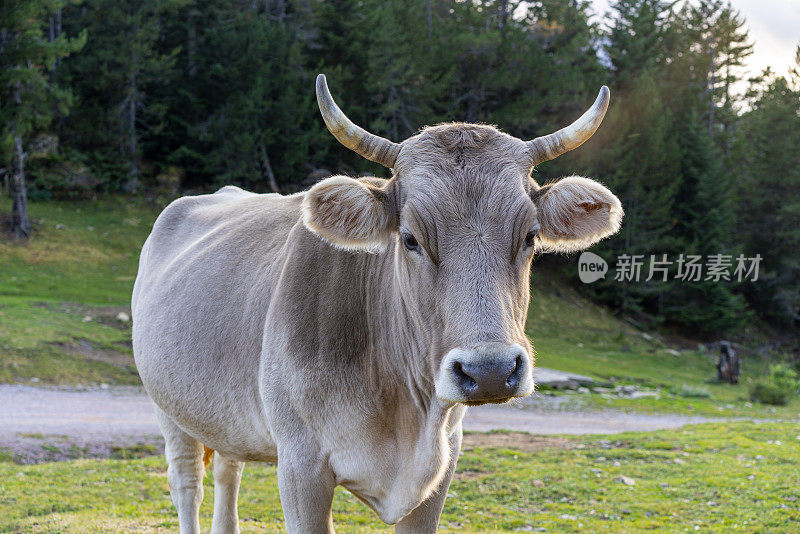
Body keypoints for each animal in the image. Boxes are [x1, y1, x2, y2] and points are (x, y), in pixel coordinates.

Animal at [131, 72, 620, 534]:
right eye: (410, 238)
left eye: (531, 236)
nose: (490, 371)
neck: (402, 410)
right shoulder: (301, 467)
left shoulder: (441, 468)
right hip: (168, 409)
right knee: (187, 484)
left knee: (228, 472)